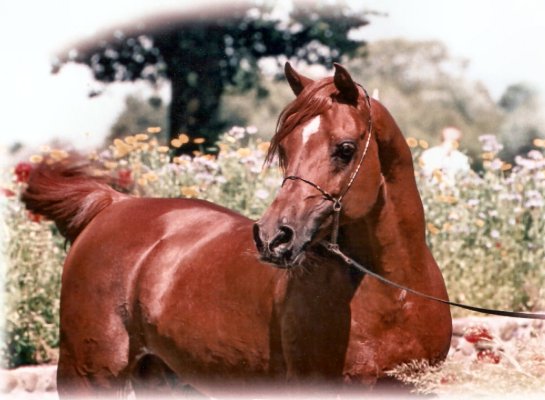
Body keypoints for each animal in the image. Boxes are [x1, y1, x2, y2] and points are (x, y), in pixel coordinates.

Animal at [22, 63, 452, 398]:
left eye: (345, 149)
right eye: (285, 148)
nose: (273, 237)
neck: (394, 294)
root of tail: (113, 203)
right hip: (89, 374)